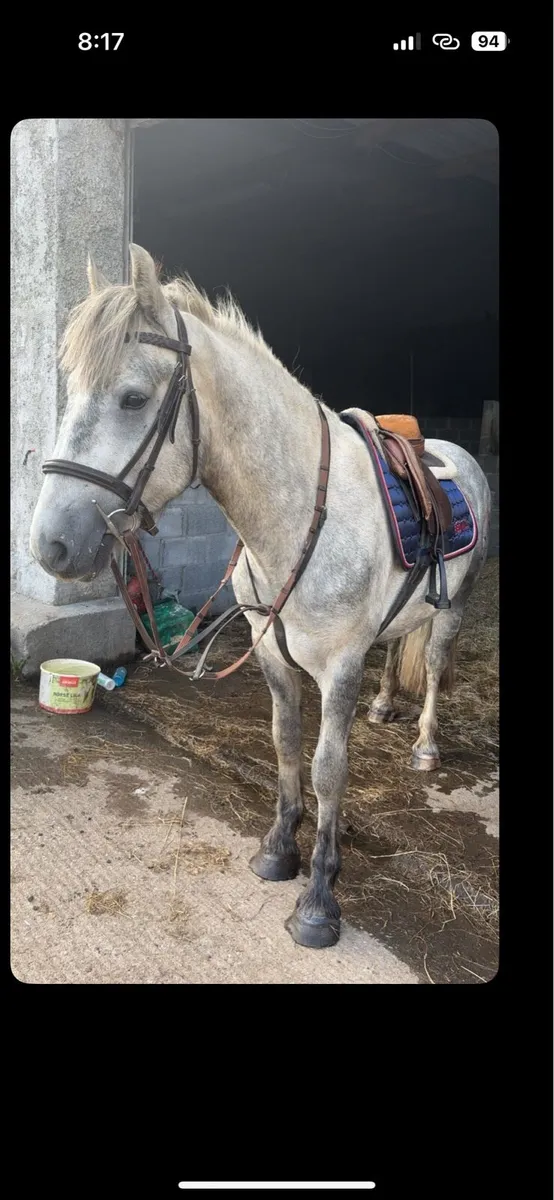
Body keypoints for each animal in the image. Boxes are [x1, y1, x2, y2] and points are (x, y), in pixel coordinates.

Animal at [30, 244, 491, 950]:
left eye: (133, 399)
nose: (50, 545)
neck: (298, 512)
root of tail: (450, 451)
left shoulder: (338, 666)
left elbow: (328, 768)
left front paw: (319, 900)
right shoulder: (271, 653)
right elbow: (283, 741)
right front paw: (278, 850)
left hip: (455, 605)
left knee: (436, 667)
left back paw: (424, 745)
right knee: (397, 652)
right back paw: (386, 706)